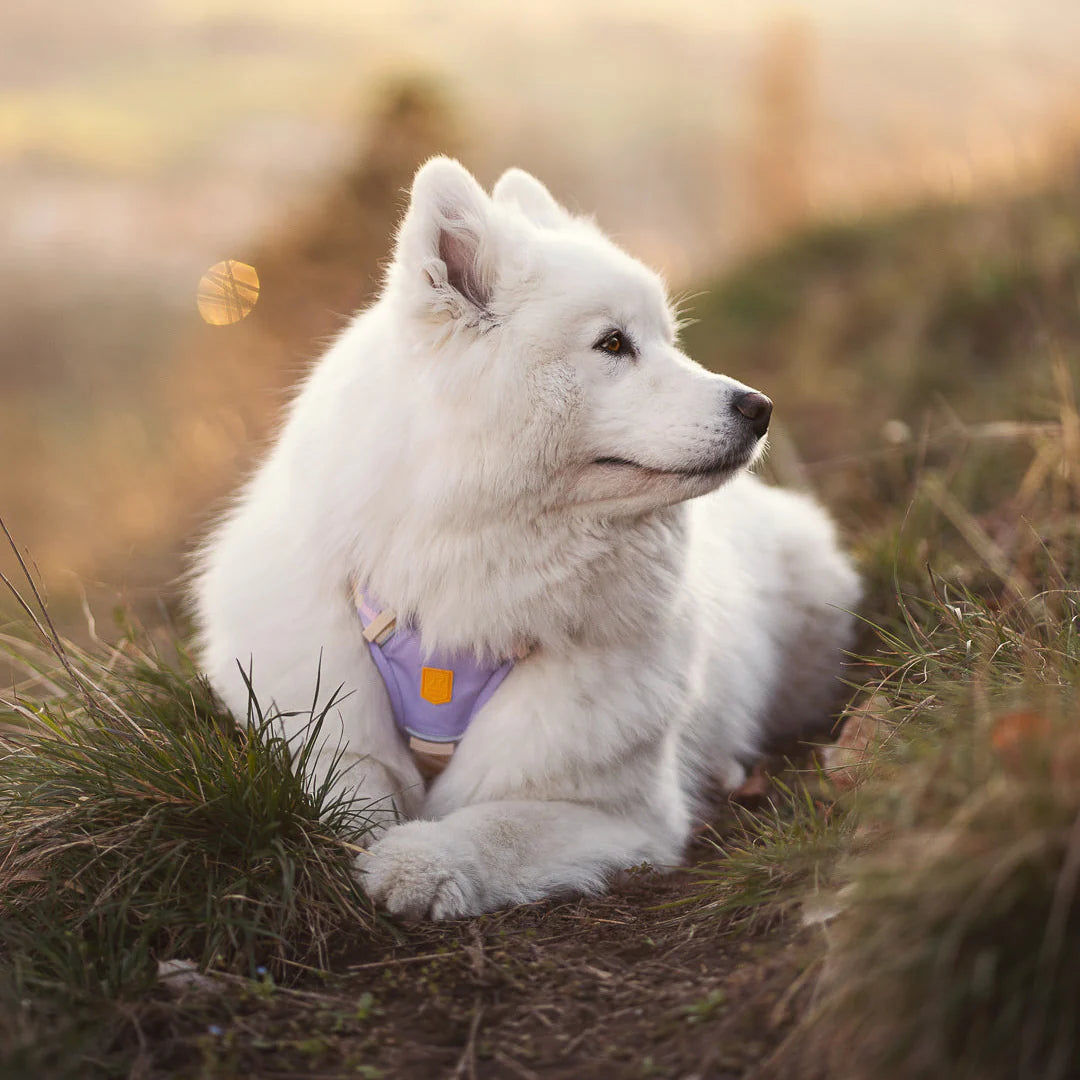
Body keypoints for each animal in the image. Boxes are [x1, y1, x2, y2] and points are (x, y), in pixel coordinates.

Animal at [192, 158, 860, 920]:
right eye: (613, 344)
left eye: (669, 340)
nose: (760, 407)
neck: (464, 584)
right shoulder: (326, 727)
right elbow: (348, 796)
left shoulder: (610, 810)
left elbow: (494, 825)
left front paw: (419, 862)